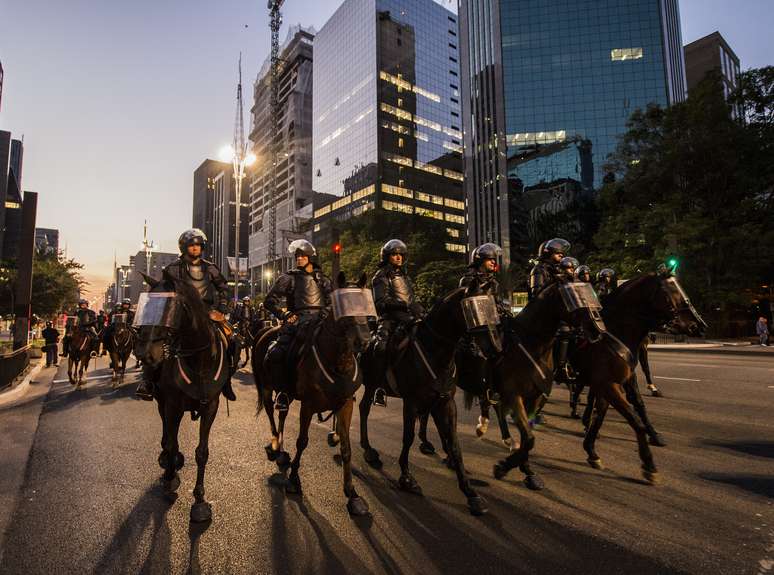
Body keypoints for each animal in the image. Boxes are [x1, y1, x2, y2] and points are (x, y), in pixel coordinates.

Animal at [135, 274, 232, 520]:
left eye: (169, 309)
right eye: (146, 308)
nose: (144, 354)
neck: (197, 359)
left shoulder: (211, 406)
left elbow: (202, 452)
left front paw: (200, 500)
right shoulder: (172, 405)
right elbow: (171, 442)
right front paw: (169, 478)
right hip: (161, 401)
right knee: (167, 434)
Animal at [253, 274, 374, 516]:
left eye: (365, 304)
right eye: (343, 306)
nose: (364, 341)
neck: (338, 362)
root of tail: (266, 331)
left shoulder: (346, 404)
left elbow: (346, 448)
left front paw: (352, 493)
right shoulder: (308, 405)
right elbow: (302, 441)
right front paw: (293, 480)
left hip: (287, 392)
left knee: (282, 412)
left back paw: (282, 450)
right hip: (267, 386)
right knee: (271, 413)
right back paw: (275, 446)